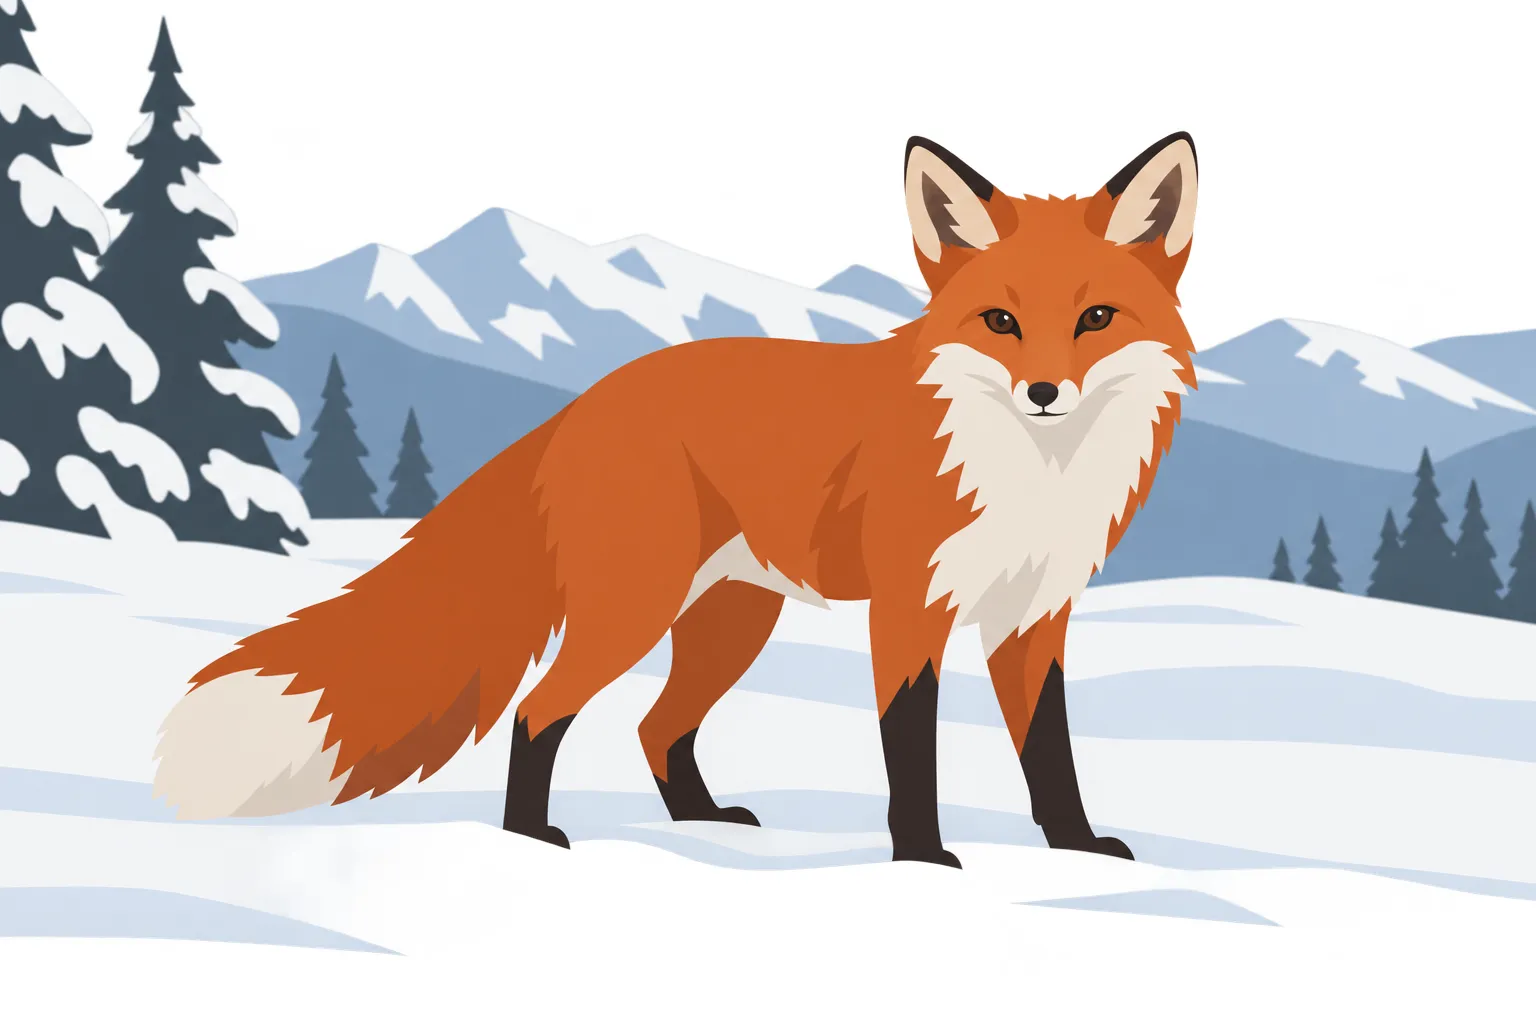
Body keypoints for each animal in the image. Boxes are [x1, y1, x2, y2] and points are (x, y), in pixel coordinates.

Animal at [153, 131, 1199, 867]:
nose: (1044, 392)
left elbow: (1050, 753)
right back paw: (530, 840)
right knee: (538, 713)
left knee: (657, 727)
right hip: (638, 609)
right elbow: (910, 751)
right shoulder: (910, 610)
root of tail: (584, 402)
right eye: (1000, 322)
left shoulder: (1033, 617)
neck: (1032, 473)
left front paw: (1075, 849)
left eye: (1095, 318)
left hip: (728, 621)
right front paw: (923, 861)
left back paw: (702, 822)